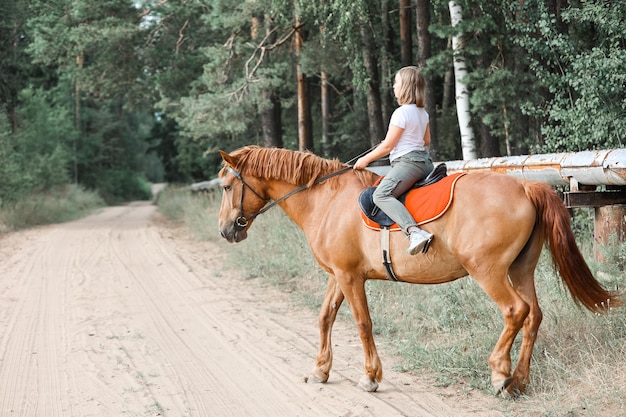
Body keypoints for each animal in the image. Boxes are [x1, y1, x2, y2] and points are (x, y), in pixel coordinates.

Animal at [217, 146, 616, 396]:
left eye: (226, 186)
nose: (225, 230)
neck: (326, 200)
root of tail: (525, 184)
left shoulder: (350, 277)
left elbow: (362, 323)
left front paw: (370, 377)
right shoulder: (338, 275)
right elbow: (325, 317)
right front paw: (320, 370)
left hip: (487, 271)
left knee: (514, 311)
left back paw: (499, 373)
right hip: (521, 269)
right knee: (533, 315)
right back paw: (519, 380)